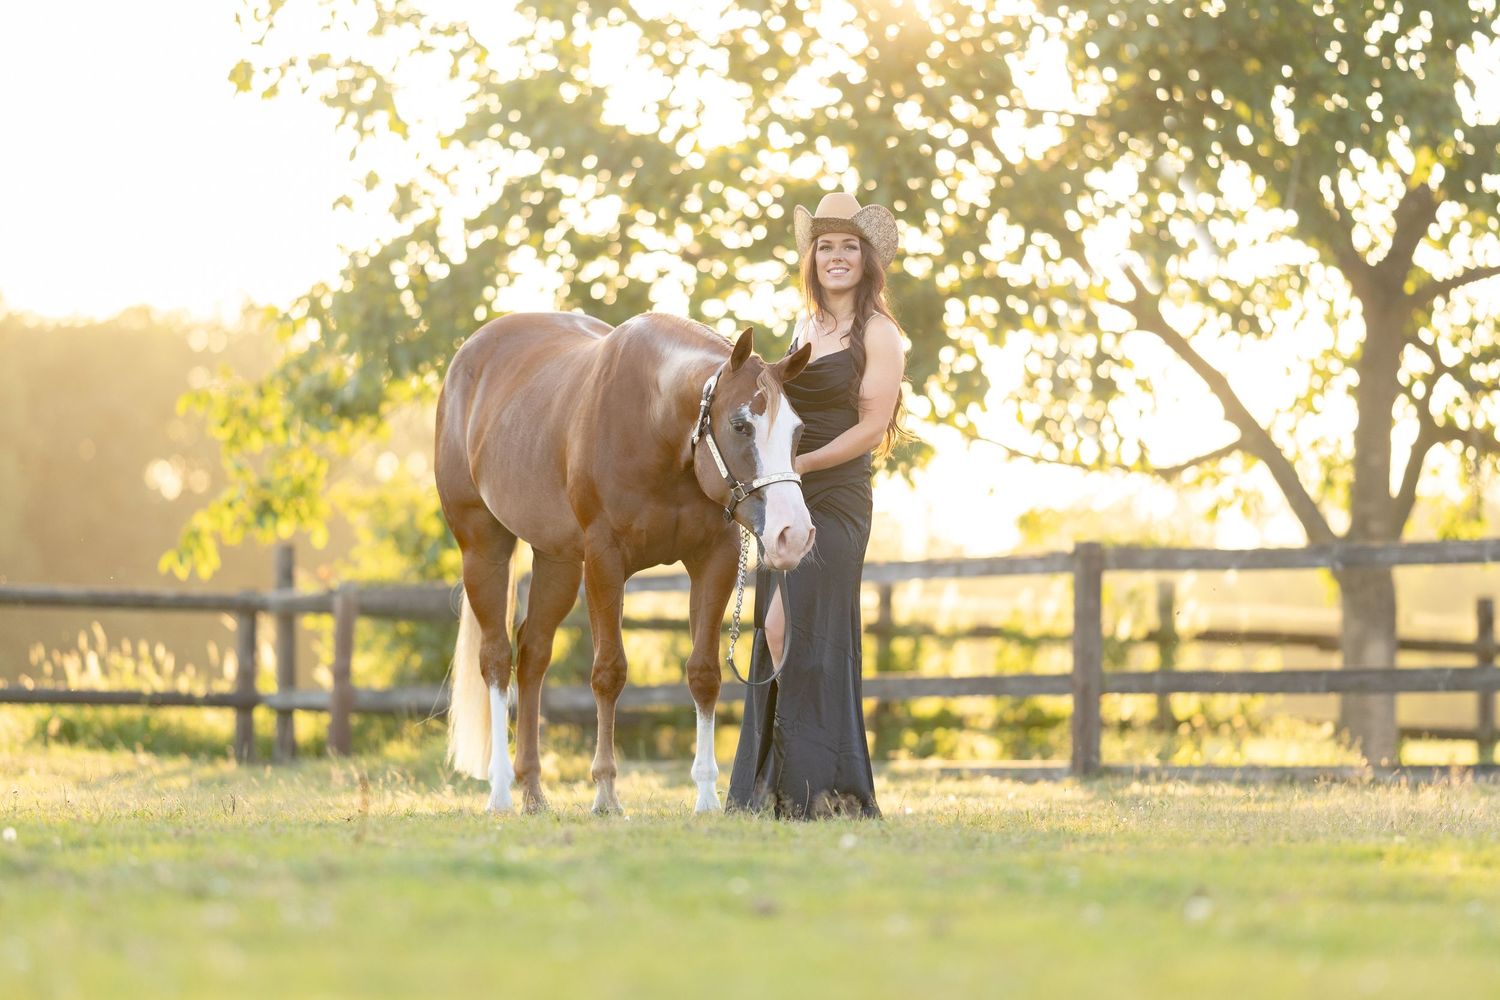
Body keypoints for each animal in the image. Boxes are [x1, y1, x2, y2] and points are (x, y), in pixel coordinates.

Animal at [435, 311, 815, 814]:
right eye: (740, 425)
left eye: (798, 430)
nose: (793, 534)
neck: (656, 423)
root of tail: (469, 355)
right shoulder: (604, 560)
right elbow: (609, 672)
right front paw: (606, 793)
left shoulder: (714, 558)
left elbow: (704, 674)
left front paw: (706, 798)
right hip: (483, 547)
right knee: (496, 658)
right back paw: (499, 793)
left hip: (557, 561)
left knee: (533, 654)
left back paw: (533, 792)